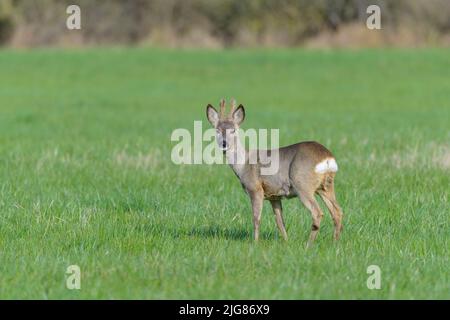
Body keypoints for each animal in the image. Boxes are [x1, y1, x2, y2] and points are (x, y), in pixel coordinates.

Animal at [207, 98, 344, 245]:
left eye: (233, 130)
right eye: (217, 130)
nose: (224, 143)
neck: (243, 165)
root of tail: (327, 158)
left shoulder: (255, 188)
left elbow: (256, 218)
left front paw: (255, 243)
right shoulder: (274, 196)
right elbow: (280, 222)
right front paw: (286, 242)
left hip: (302, 183)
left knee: (317, 213)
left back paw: (308, 245)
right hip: (325, 187)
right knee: (337, 211)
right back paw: (335, 242)